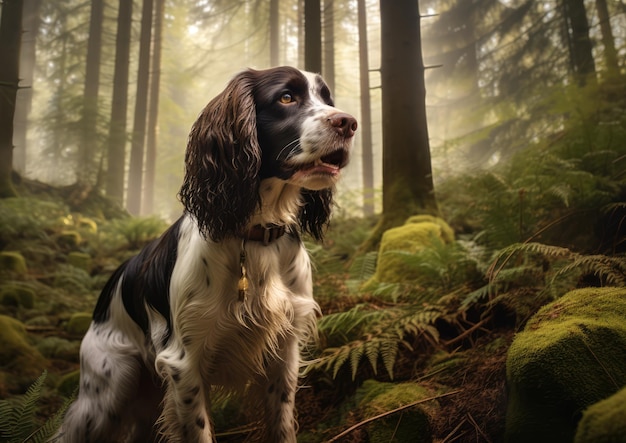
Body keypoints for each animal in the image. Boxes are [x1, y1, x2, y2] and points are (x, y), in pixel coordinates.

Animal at [55, 67, 356, 443]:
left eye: (327, 99)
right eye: (286, 97)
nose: (349, 123)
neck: (255, 236)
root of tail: (112, 284)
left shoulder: (284, 353)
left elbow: (282, 424)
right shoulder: (184, 363)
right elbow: (199, 430)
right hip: (108, 391)